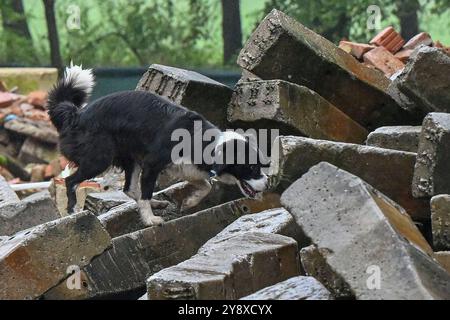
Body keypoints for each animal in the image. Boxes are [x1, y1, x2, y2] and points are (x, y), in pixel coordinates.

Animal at [48, 63, 268, 226]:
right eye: (251, 167)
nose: (267, 183)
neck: (202, 140)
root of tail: (76, 115)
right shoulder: (152, 164)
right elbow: (146, 192)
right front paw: (150, 220)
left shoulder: (186, 167)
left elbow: (206, 185)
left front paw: (189, 202)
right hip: (99, 159)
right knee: (71, 181)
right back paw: (72, 211)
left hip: (130, 158)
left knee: (129, 189)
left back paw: (157, 202)